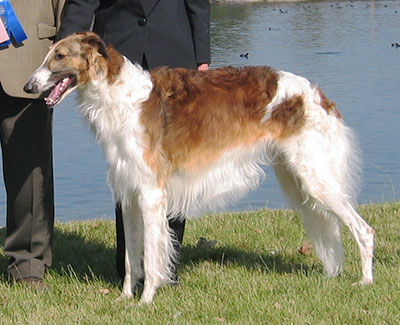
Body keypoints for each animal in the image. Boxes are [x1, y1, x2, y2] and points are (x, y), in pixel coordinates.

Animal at [24, 31, 376, 302]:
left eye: (59, 56)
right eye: (47, 55)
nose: (28, 86)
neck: (121, 97)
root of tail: (317, 94)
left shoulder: (151, 194)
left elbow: (151, 256)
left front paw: (146, 301)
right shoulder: (128, 194)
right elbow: (131, 257)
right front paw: (125, 298)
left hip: (316, 179)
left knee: (365, 230)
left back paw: (366, 281)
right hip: (298, 176)